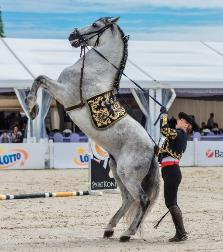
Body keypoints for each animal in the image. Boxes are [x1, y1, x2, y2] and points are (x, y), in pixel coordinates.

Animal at [25, 16, 159, 241]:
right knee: (127, 200)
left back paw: (127, 233)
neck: (94, 71)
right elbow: (40, 79)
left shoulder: (65, 93)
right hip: (117, 172)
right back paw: (109, 229)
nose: (72, 35)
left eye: (96, 25)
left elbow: (40, 78)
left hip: (128, 174)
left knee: (141, 199)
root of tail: (153, 148)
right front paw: (33, 108)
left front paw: (31, 106)